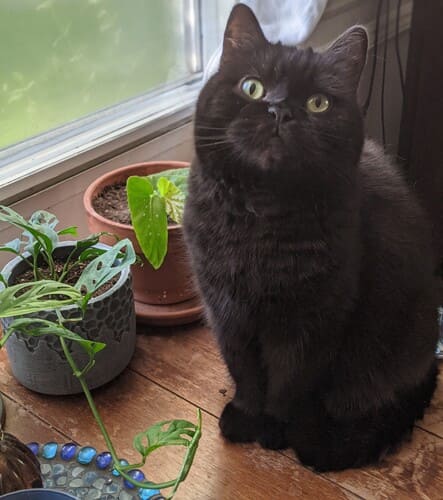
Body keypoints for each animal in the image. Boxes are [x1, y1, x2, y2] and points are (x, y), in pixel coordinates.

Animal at [184, 4, 440, 472]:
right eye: (252, 87)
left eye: (317, 103)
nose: (279, 110)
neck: (261, 222)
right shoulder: (226, 309)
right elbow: (244, 370)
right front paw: (243, 416)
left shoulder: (314, 320)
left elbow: (288, 381)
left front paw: (273, 429)